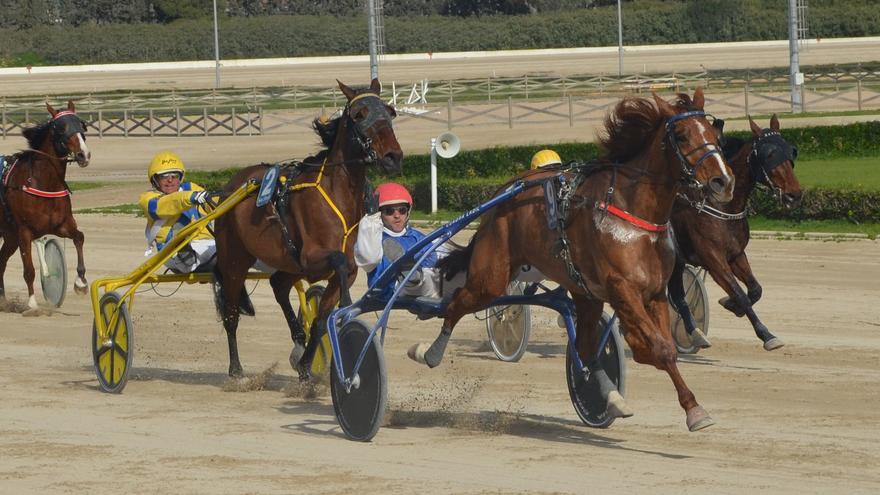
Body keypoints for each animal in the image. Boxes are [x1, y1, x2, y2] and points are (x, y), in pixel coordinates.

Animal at [0, 101, 91, 310]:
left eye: (81, 125)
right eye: (61, 128)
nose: (84, 154)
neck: (43, 183)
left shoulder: (60, 225)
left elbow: (79, 237)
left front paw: (81, 283)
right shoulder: (24, 231)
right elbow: (29, 270)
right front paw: (32, 304)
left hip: (9, 237)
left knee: (1, 261)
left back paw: (2, 298)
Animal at [215, 79, 404, 378]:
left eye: (390, 111)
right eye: (359, 114)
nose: (392, 157)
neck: (336, 193)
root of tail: (233, 185)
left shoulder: (340, 269)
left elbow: (322, 315)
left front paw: (306, 365)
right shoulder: (312, 257)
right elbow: (337, 262)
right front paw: (346, 305)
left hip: (289, 263)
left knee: (278, 285)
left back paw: (297, 339)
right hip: (234, 259)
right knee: (231, 313)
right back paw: (235, 369)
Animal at [416, 90, 732, 434]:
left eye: (714, 133)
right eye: (683, 135)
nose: (722, 181)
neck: (633, 212)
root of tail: (502, 195)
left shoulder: (654, 292)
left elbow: (661, 347)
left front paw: (687, 404)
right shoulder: (622, 289)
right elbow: (659, 349)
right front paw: (695, 411)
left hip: (584, 293)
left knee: (585, 348)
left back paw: (610, 396)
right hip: (490, 277)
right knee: (456, 304)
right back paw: (428, 352)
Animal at [668, 113, 804, 352]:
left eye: (791, 151)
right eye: (769, 154)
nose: (793, 195)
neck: (721, 206)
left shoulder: (736, 254)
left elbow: (755, 289)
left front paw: (731, 304)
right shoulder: (713, 259)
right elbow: (740, 293)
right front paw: (767, 335)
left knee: (677, 294)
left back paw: (695, 333)